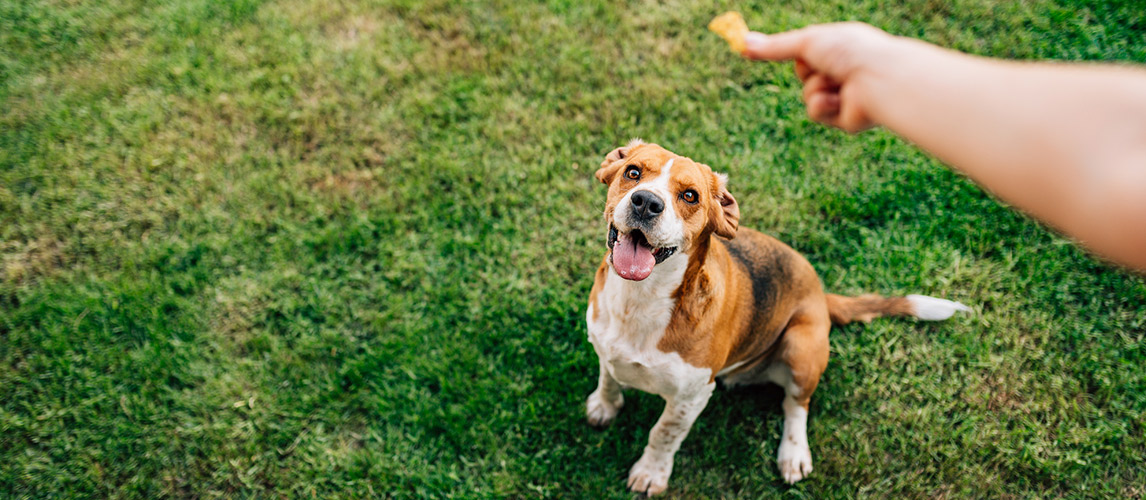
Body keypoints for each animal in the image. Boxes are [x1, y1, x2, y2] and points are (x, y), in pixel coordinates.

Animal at [582, 138, 967, 493]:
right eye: (633, 173)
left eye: (690, 196)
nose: (647, 202)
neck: (640, 300)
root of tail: (820, 295)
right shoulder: (604, 346)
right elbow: (608, 376)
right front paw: (604, 405)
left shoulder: (690, 398)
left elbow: (662, 433)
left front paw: (651, 473)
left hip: (800, 348)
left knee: (796, 404)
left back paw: (793, 454)